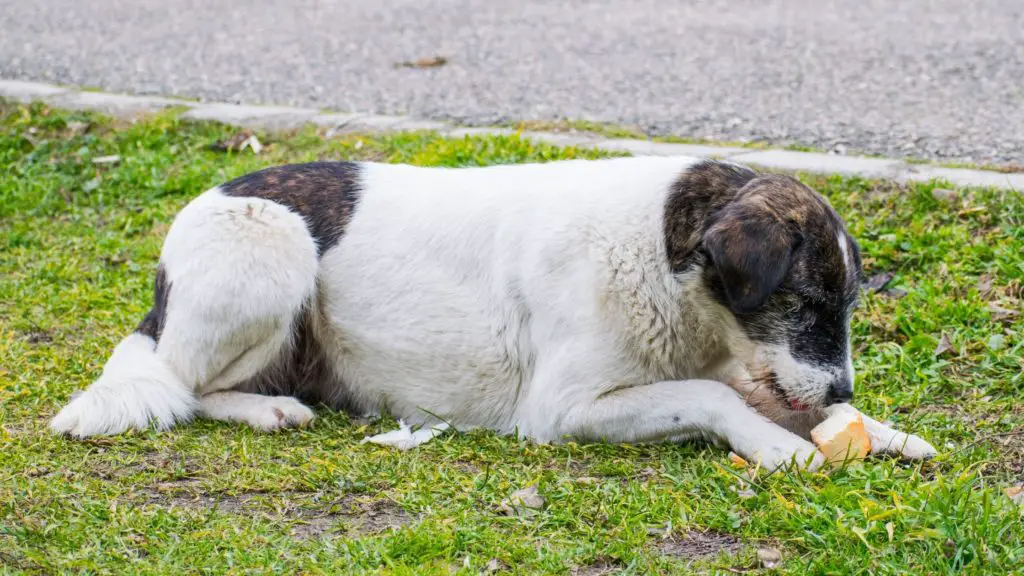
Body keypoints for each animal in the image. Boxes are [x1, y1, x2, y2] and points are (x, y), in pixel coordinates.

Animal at [51, 154, 937, 469]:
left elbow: (764, 395)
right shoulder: (562, 411)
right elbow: (714, 396)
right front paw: (778, 447)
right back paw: (266, 408)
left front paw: (880, 431)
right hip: (271, 245)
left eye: (845, 306)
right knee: (183, 384)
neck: (661, 253)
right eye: (808, 302)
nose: (845, 390)